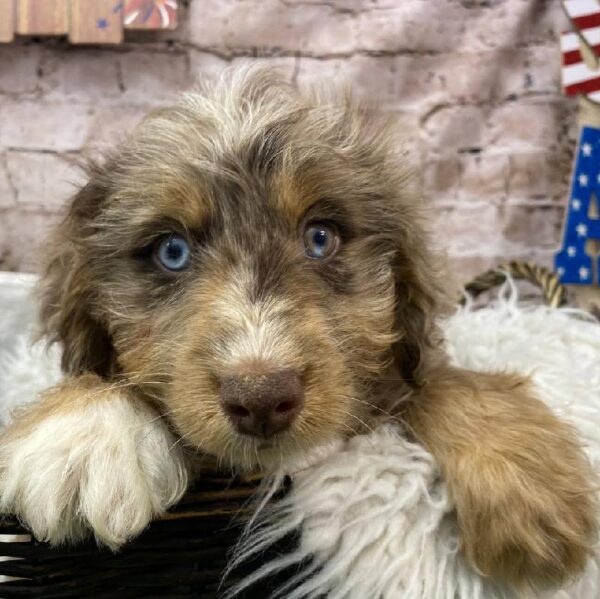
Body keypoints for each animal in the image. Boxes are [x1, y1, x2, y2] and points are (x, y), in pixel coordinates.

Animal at [0, 67, 596, 592]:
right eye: (171, 251)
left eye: (320, 238)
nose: (261, 397)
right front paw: (85, 435)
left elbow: (441, 380)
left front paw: (529, 494)